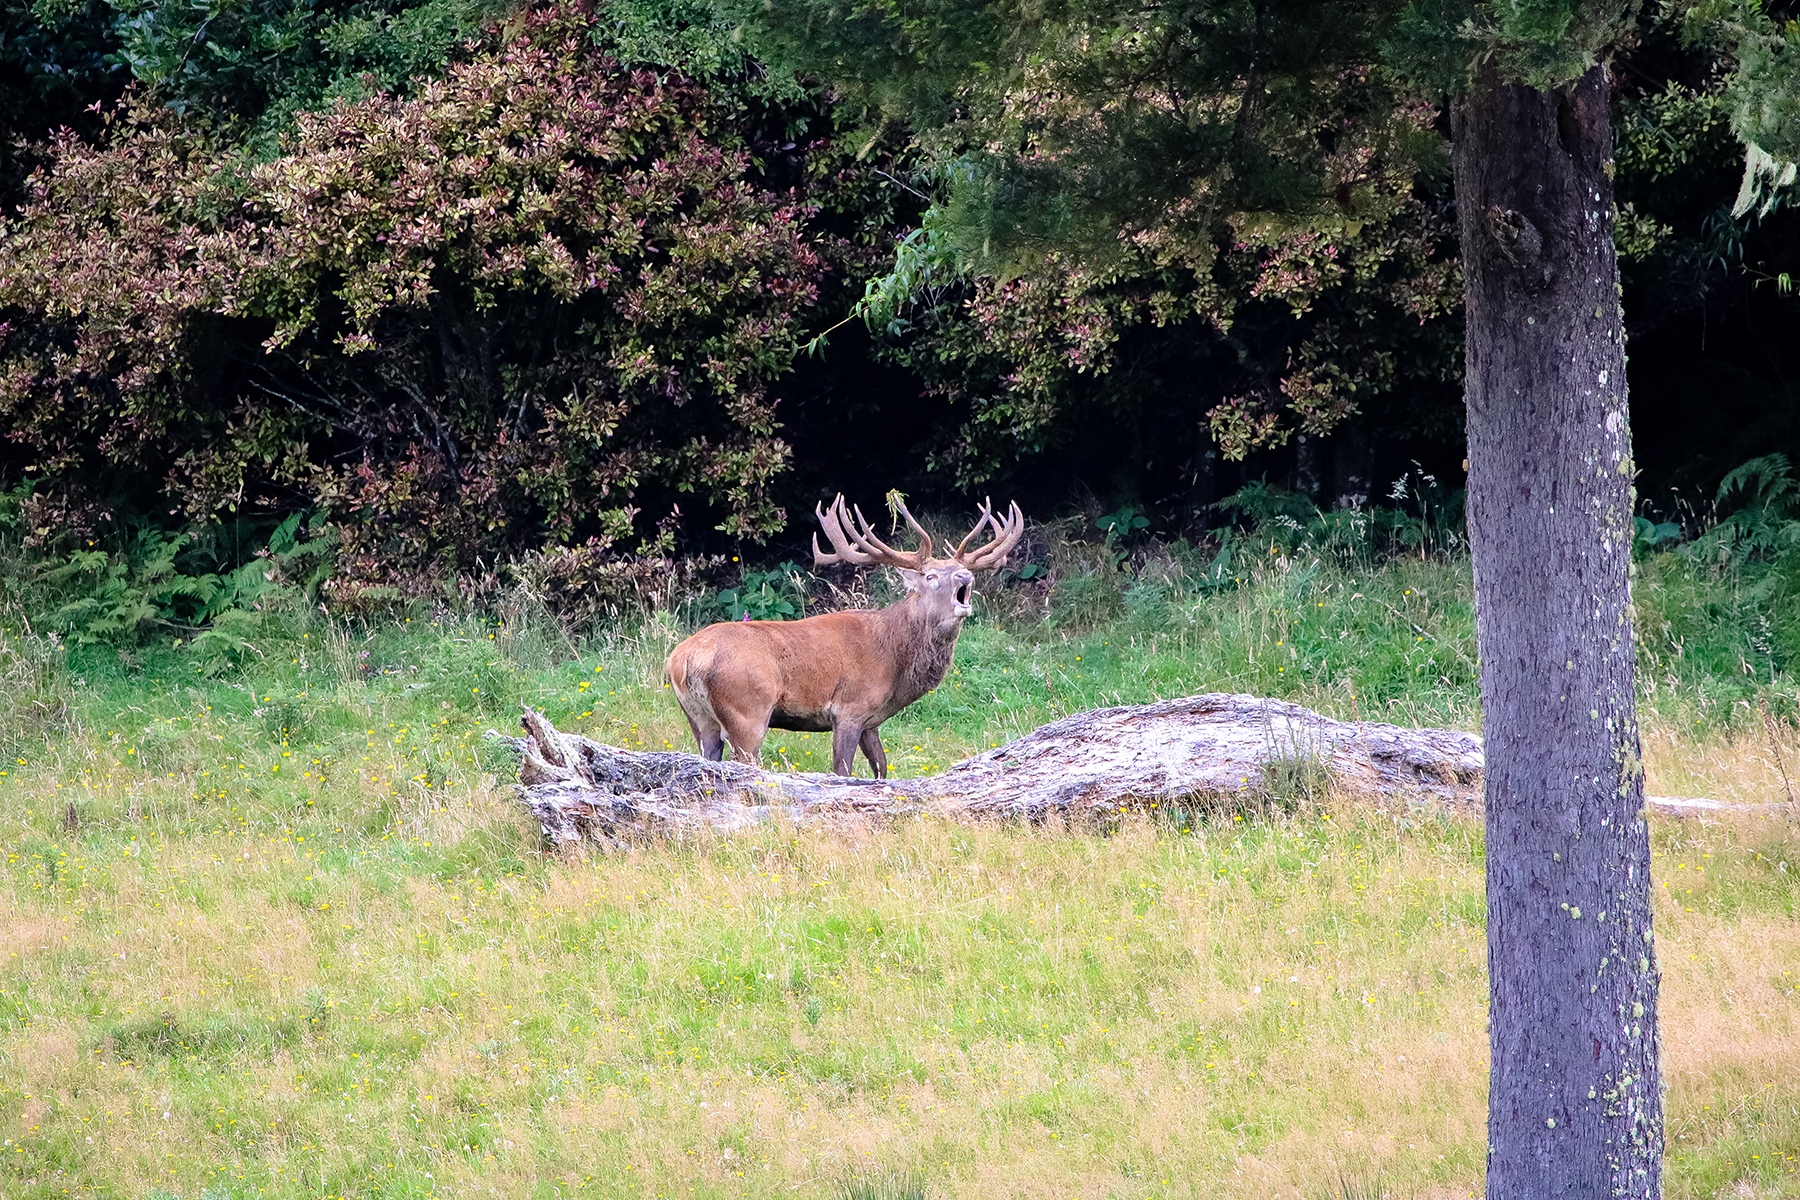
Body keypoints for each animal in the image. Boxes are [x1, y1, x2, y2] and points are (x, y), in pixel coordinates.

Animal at [665, 494, 1025, 777]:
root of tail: (680, 661)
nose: (965, 576)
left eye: (963, 571)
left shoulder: (871, 720)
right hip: (747, 709)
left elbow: (881, 768)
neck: (894, 658)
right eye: (931, 576)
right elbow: (843, 770)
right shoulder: (850, 707)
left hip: (698, 718)